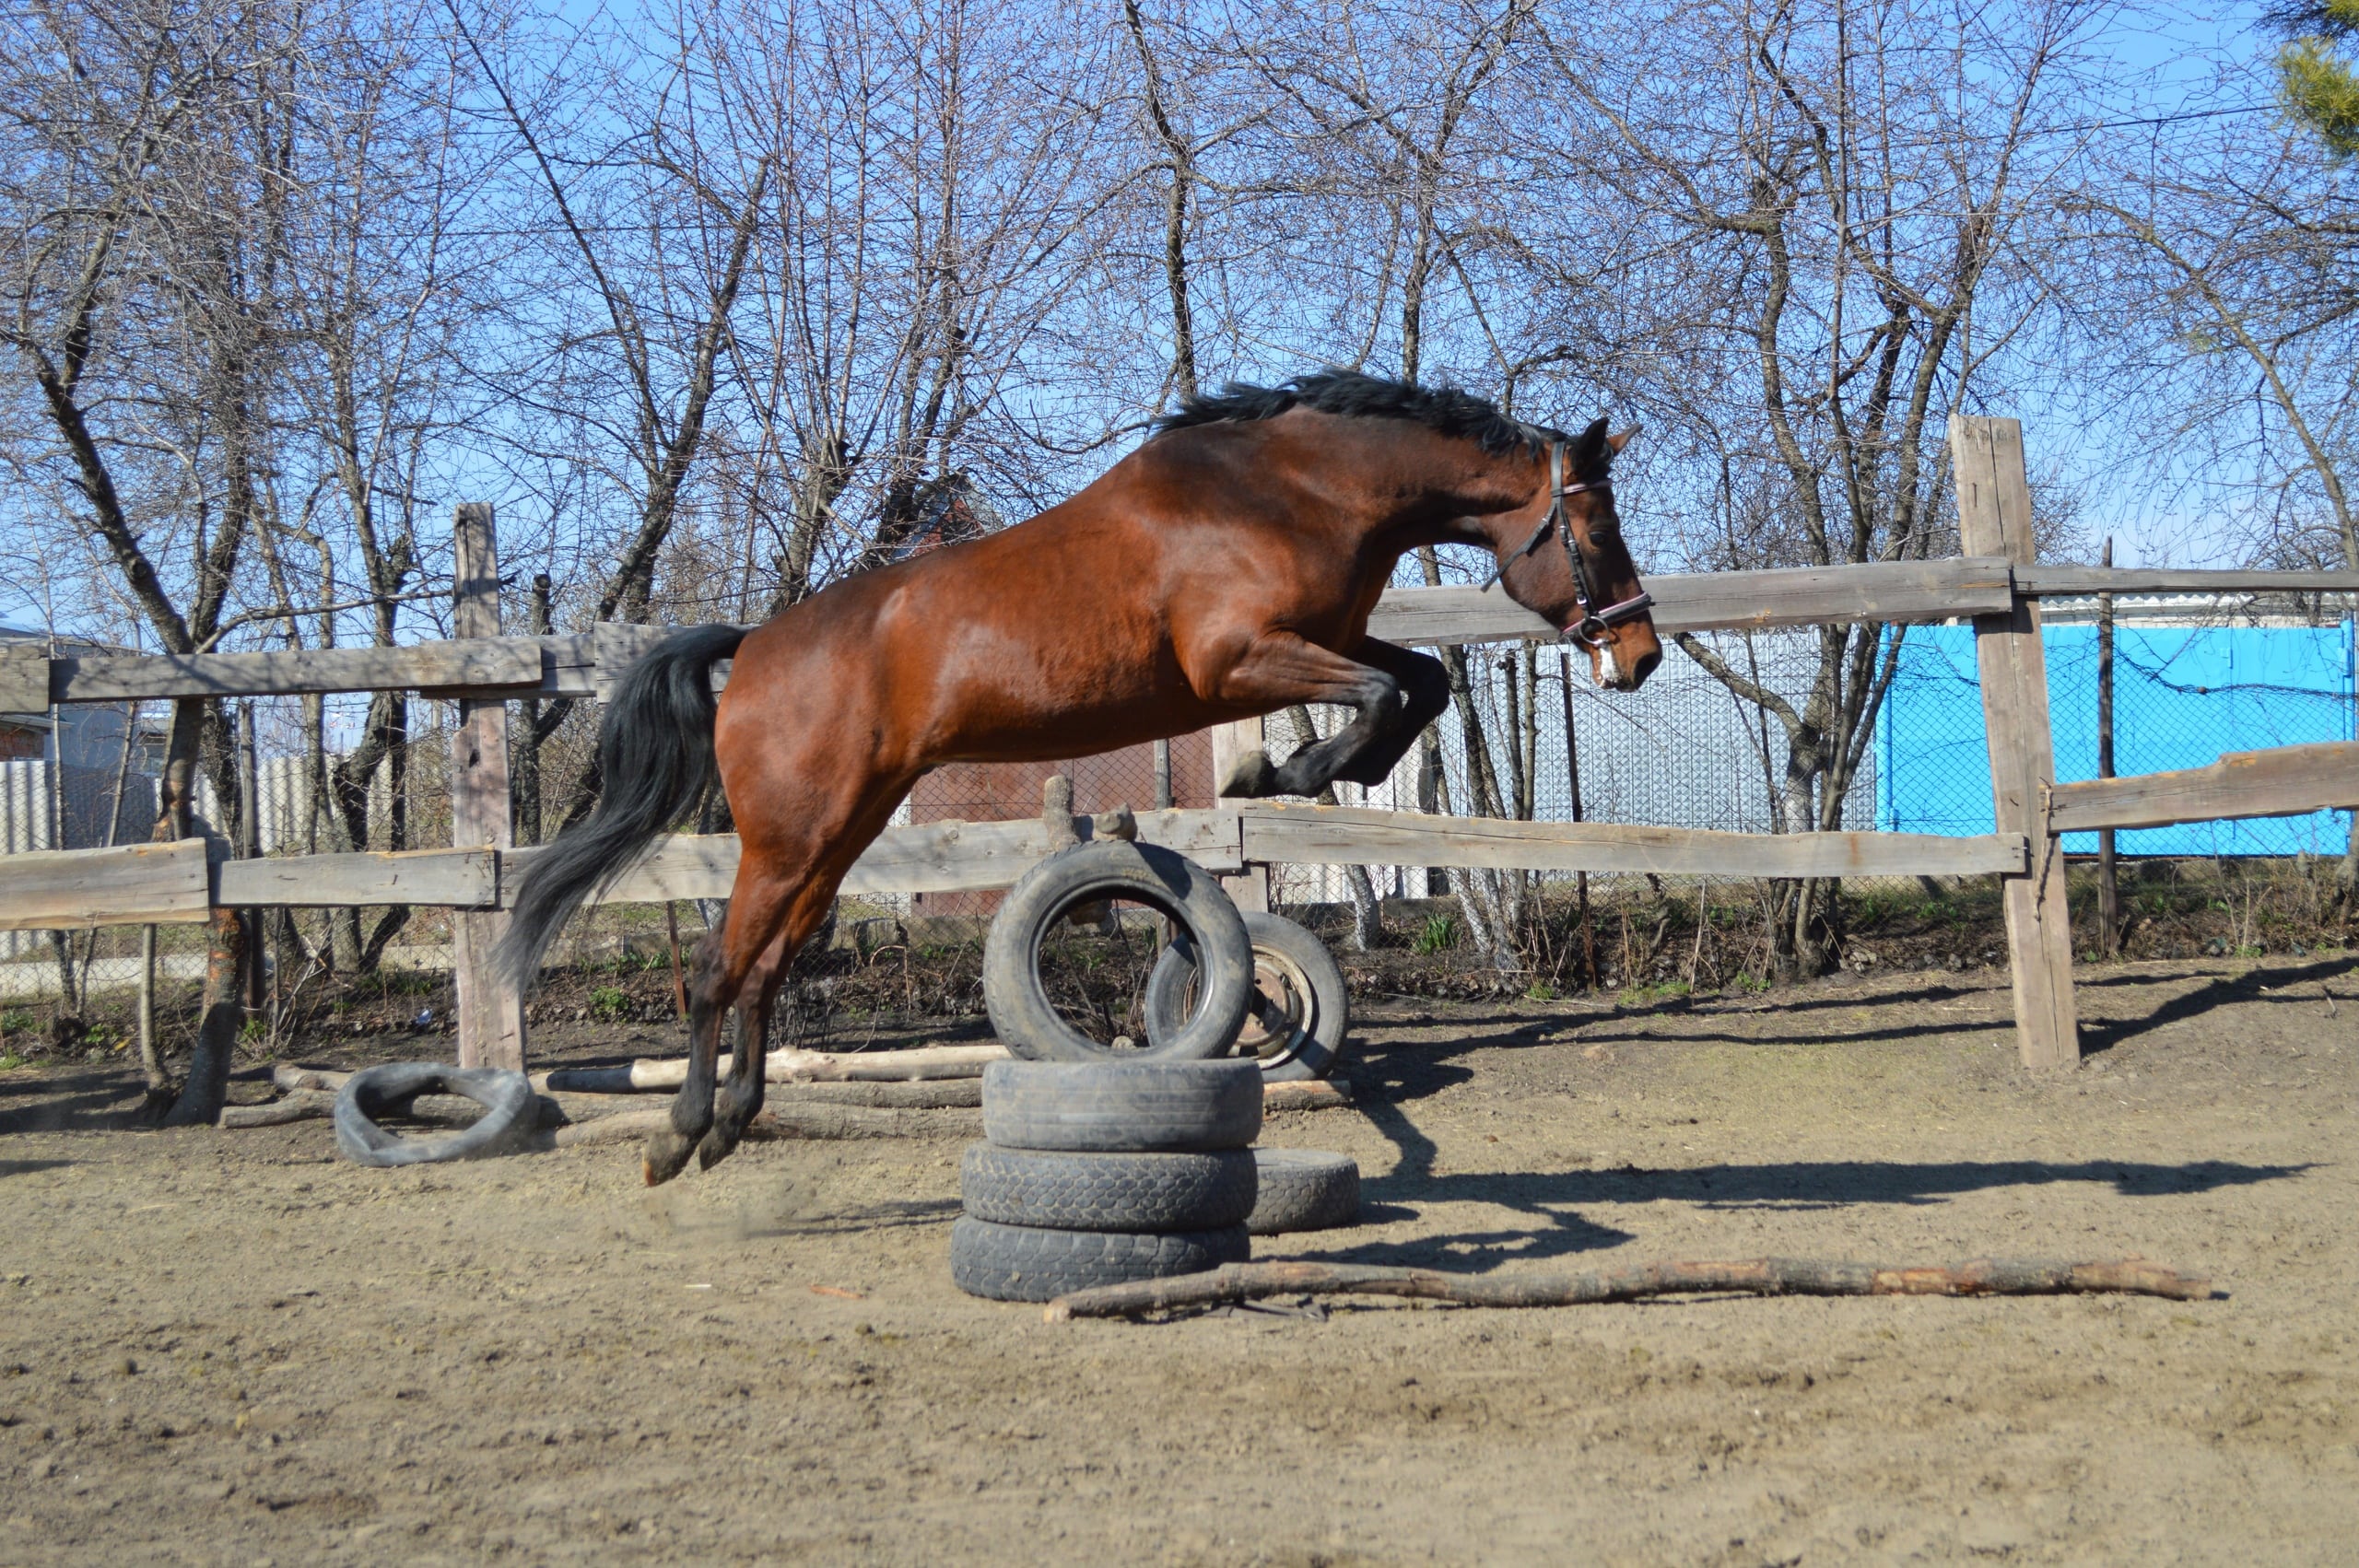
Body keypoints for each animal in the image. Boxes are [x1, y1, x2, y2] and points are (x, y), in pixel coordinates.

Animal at [507, 372, 1670, 1178]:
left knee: (767, 967)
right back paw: (680, 1135)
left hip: (838, 834)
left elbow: (1416, 681)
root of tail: (750, 648)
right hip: (791, 836)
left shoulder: (1326, 639)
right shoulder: (1238, 658)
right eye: (1596, 526)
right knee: (717, 968)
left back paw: (735, 1121)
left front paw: (1288, 768)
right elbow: (1389, 694)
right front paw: (1278, 768)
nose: (1642, 654)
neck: (1291, 491)